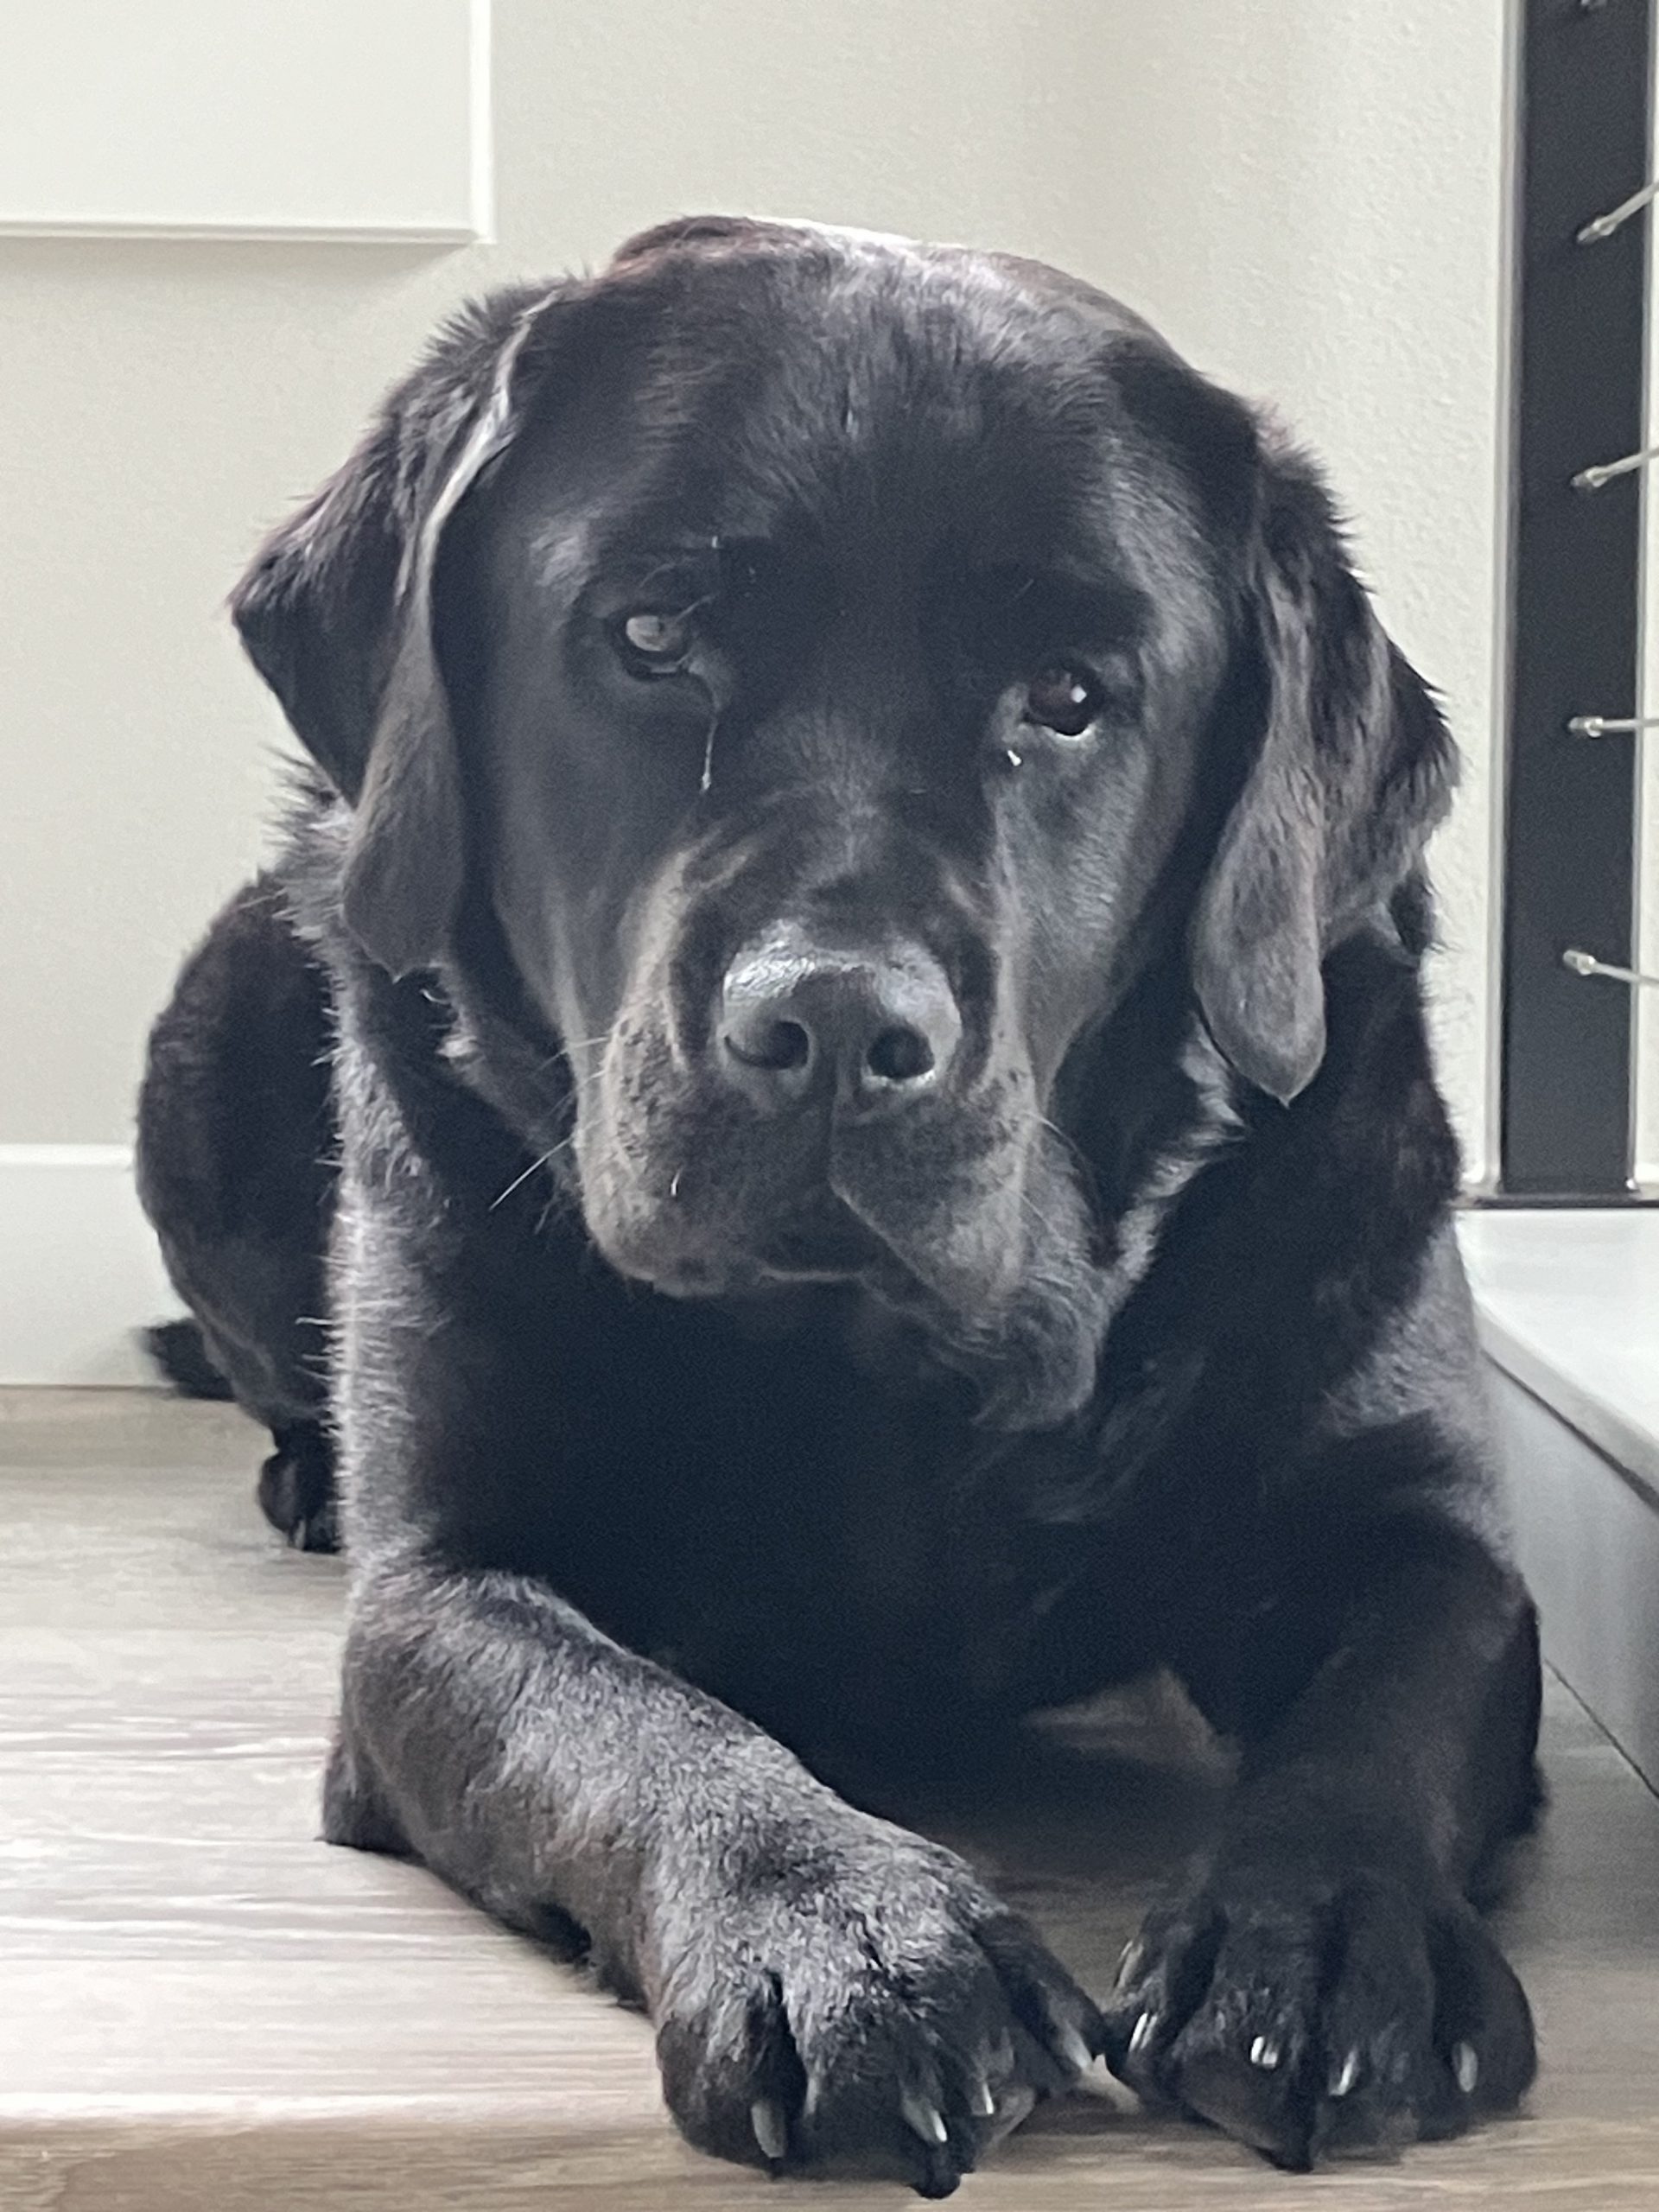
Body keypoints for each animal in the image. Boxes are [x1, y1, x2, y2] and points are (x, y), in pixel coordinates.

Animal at [139, 219, 1548, 2194]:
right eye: (655, 633)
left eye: (1070, 696)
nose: (831, 1027)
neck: (903, 1380)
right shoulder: (444, 1590)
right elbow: (623, 1720)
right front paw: (847, 1932)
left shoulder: (1419, 1528)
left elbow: (1388, 1704)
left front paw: (1325, 1933)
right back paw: (297, 1465)